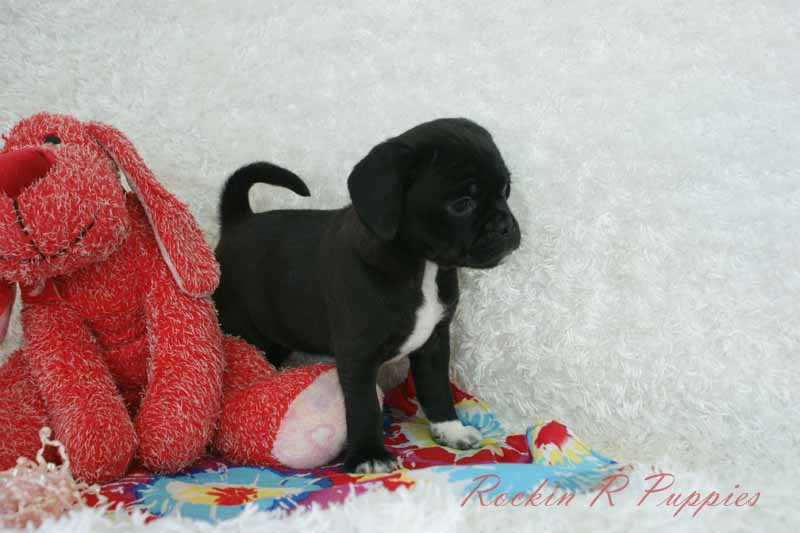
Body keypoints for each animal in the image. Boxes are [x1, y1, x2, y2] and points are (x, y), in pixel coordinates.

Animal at [213, 118, 521, 473]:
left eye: (506, 191)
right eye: (462, 204)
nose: (506, 224)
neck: (421, 267)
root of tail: (238, 220)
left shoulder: (434, 343)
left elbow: (437, 389)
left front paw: (450, 429)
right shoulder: (358, 356)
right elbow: (364, 408)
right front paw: (368, 454)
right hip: (240, 328)